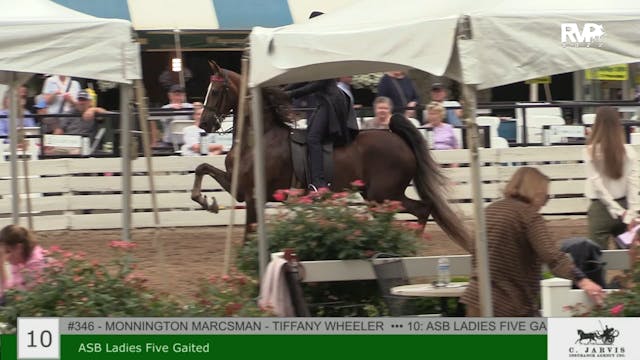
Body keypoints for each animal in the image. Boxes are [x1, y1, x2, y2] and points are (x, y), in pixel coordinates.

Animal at [190, 60, 470, 249]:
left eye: (216, 91)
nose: (204, 124)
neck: (260, 136)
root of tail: (397, 138)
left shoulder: (252, 195)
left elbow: (249, 235)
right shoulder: (238, 188)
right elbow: (202, 168)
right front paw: (206, 202)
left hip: (384, 195)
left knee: (423, 208)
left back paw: (412, 245)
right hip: (377, 197)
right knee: (414, 211)